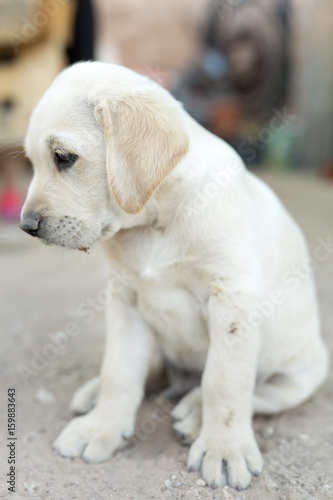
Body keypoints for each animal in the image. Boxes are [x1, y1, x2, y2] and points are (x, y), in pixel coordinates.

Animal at [21, 61, 330, 488]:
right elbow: (119, 371)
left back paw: (194, 411)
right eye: (32, 163)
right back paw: (96, 394)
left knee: (249, 393)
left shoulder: (231, 301)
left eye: (64, 157)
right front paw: (102, 427)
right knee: (150, 371)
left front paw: (224, 448)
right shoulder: (125, 300)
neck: (156, 219)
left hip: (301, 374)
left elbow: (225, 383)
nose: (26, 226)